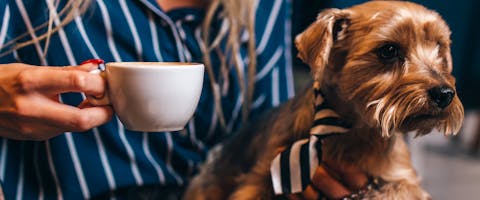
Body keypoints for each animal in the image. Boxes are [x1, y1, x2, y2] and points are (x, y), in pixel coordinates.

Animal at [185, 0, 464, 199]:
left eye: (439, 48)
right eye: (388, 50)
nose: (444, 93)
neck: (349, 129)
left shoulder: (403, 179)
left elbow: (397, 190)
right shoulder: (258, 178)